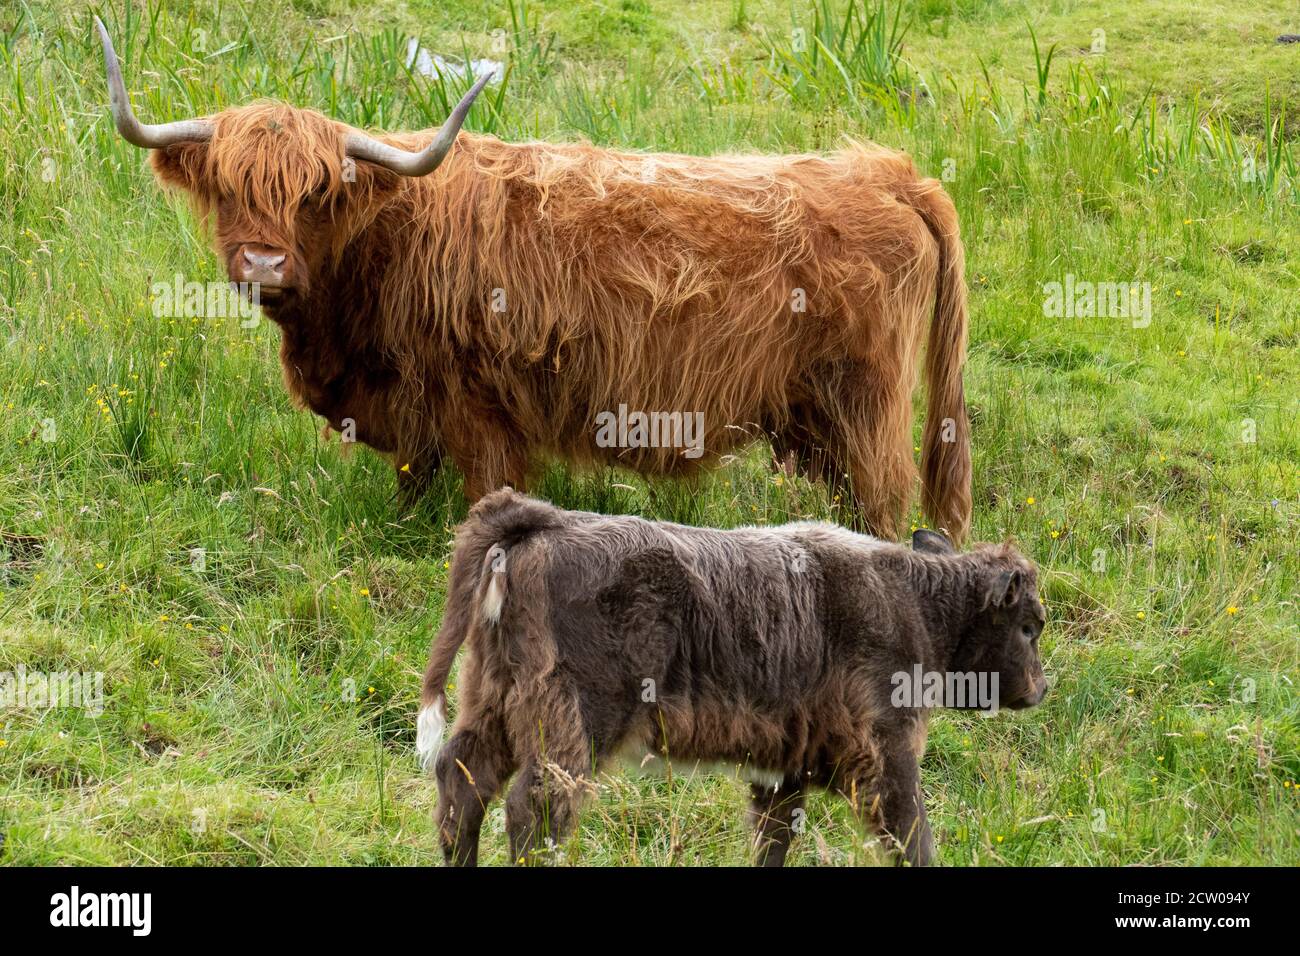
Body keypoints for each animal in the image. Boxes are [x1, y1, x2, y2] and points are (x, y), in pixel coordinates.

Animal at [98, 18, 977, 541]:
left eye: (317, 192)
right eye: (226, 189)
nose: (263, 263)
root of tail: (887, 171)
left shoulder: (478, 406)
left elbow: (484, 492)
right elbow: (413, 478)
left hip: (864, 406)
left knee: (883, 500)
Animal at [421, 494, 1050, 868]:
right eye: (1029, 626)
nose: (1042, 689)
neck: (914, 602)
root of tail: (541, 518)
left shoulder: (783, 768)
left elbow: (775, 839)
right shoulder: (887, 752)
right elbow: (913, 834)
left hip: (493, 703)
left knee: (463, 782)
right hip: (574, 726)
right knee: (533, 808)